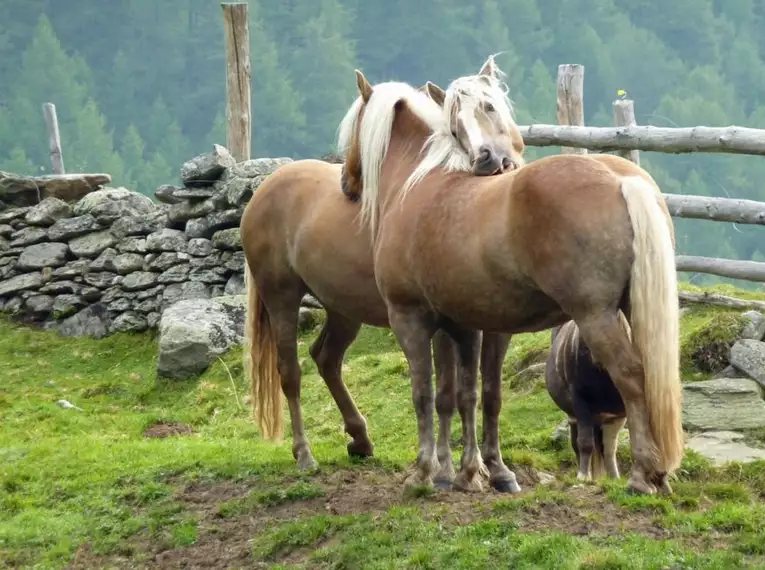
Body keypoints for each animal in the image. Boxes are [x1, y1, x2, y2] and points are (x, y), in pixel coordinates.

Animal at [242, 58, 528, 492]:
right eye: (454, 125)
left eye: (491, 107)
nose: (488, 161)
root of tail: (265, 188)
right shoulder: (442, 325)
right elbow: (447, 395)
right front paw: (449, 470)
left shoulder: (485, 329)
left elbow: (482, 394)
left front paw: (490, 469)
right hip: (282, 300)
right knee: (290, 373)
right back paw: (305, 455)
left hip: (343, 310)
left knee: (326, 358)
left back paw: (360, 439)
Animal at [340, 71, 680, 494]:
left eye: (351, 126)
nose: (345, 182)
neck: (416, 184)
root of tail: (620, 179)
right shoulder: (472, 326)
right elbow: (476, 394)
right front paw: (479, 472)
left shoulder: (410, 318)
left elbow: (424, 394)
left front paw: (423, 473)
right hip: (631, 309)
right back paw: (658, 475)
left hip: (596, 316)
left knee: (631, 377)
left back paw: (641, 475)